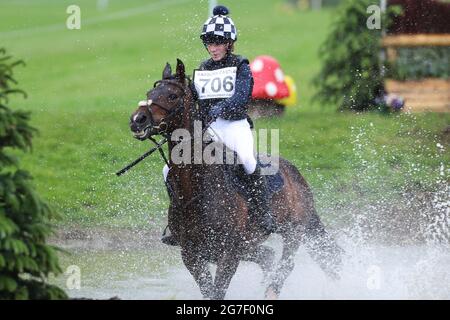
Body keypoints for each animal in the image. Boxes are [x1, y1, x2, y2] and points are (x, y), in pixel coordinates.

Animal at [128, 58, 342, 300]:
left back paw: (270, 291)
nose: (137, 120)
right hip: (250, 245)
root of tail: (294, 173)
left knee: (286, 264)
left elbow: (217, 292)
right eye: (150, 92)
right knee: (268, 256)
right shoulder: (191, 255)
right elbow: (208, 291)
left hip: (293, 230)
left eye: (172, 96)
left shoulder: (229, 254)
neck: (196, 188)